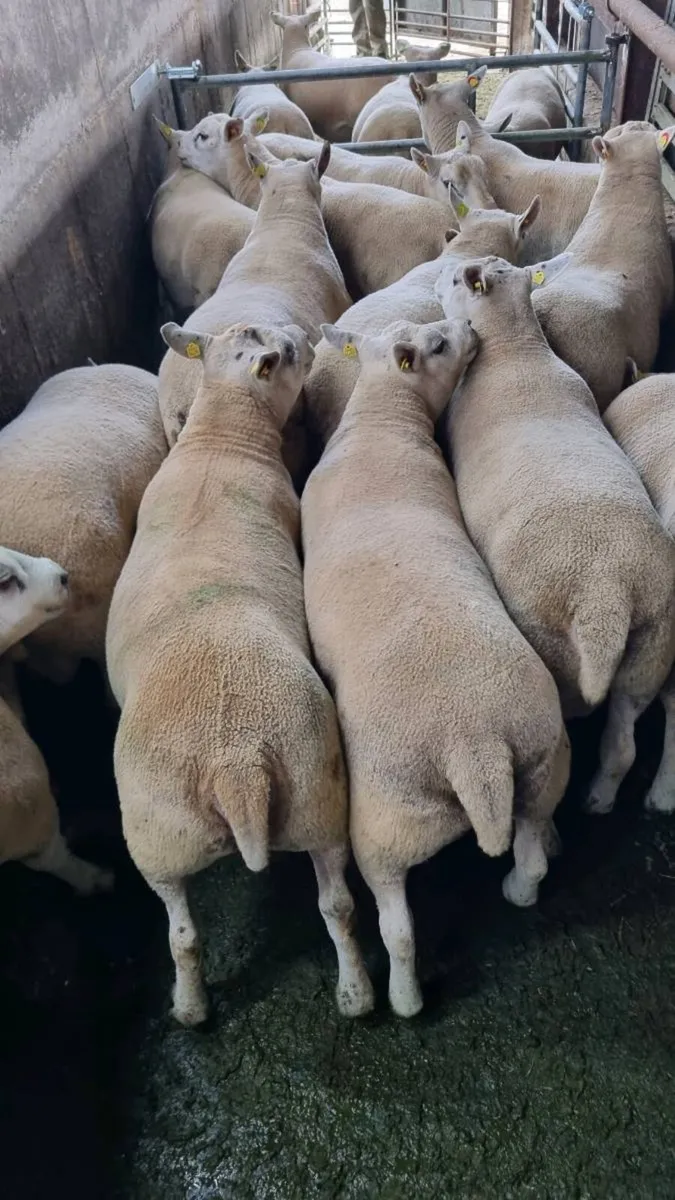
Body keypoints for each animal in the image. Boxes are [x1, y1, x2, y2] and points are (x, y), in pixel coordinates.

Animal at [107, 321, 374, 1026]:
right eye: (288, 353)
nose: (305, 334)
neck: (219, 440)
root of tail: (236, 764)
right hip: (305, 794)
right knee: (333, 906)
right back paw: (354, 994)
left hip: (176, 834)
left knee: (187, 933)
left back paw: (197, 1006)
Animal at [301, 319, 570, 1016]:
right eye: (439, 346)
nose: (470, 329)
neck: (379, 423)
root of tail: (474, 746)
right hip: (541, 764)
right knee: (533, 853)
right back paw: (520, 890)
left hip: (386, 827)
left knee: (397, 926)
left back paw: (403, 999)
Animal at [436, 256, 675, 815]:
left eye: (457, 280)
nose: (435, 281)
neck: (514, 351)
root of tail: (608, 592)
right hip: (652, 647)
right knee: (623, 744)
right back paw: (601, 799)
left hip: (552, 640)